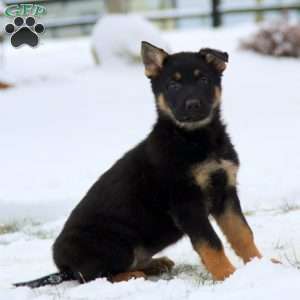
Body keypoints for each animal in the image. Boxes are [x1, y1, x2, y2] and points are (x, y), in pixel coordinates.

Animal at [15, 41, 262, 288]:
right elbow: (211, 243)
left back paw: (155, 263)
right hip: (115, 244)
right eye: (173, 85)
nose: (193, 105)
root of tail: (63, 268)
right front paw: (228, 276)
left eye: (203, 80)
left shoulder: (226, 192)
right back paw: (132, 275)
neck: (196, 138)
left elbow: (243, 233)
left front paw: (260, 264)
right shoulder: (186, 203)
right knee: (93, 276)